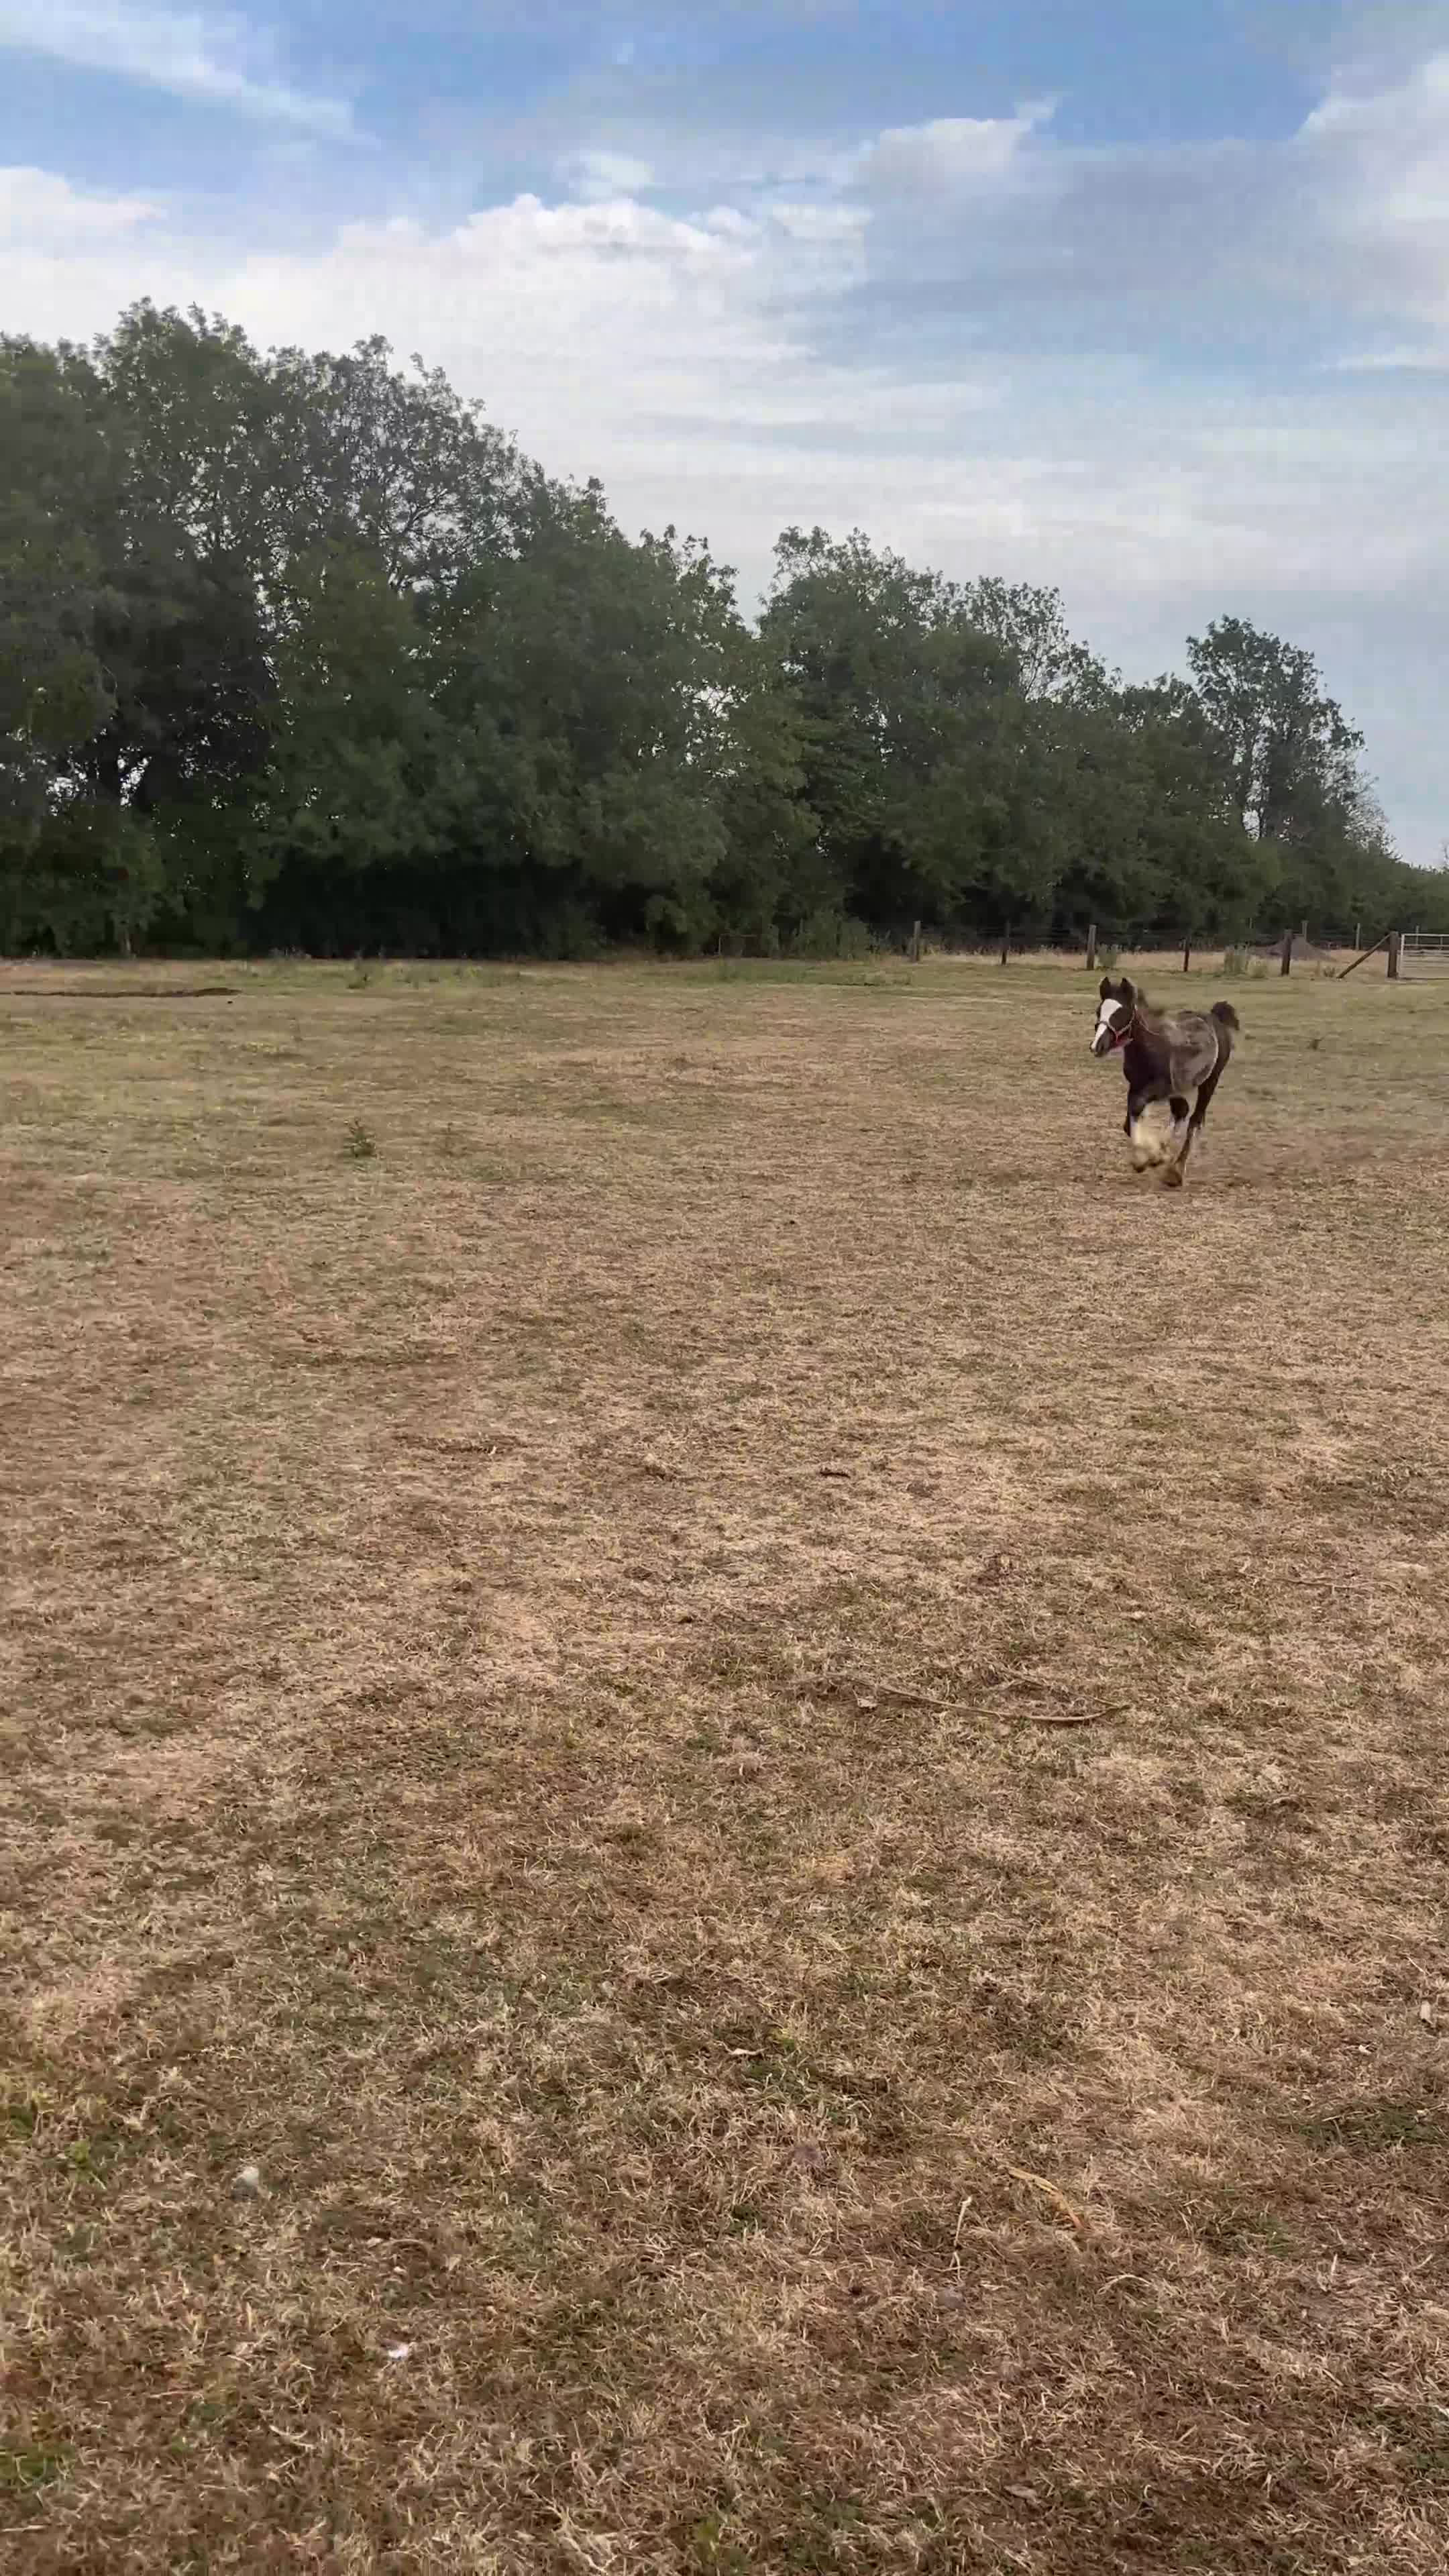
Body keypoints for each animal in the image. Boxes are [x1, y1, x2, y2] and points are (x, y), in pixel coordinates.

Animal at [1089, 975, 1239, 1187]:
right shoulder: (1136, 1085)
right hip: (1178, 1088)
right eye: (1099, 1011)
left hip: (1210, 1082)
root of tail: (1215, 1018)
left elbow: (1137, 1109)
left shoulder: (1157, 1089)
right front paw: (1153, 1156)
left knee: (1195, 1120)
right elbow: (1130, 1121)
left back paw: (1175, 1172)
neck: (1151, 1046)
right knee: (1182, 1111)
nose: (1097, 1046)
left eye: (1121, 1013)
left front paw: (1147, 1158)